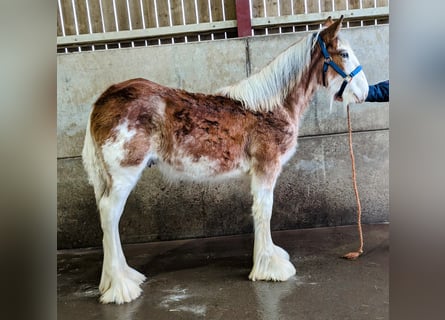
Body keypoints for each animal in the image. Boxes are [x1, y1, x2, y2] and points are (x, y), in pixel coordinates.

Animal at [82, 15, 368, 304]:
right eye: (344, 53)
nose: (364, 93)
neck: (270, 107)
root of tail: (104, 99)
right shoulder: (266, 168)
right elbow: (265, 210)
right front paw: (271, 268)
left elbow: (259, 210)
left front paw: (270, 257)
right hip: (124, 173)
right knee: (110, 214)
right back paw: (121, 287)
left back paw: (121, 278)